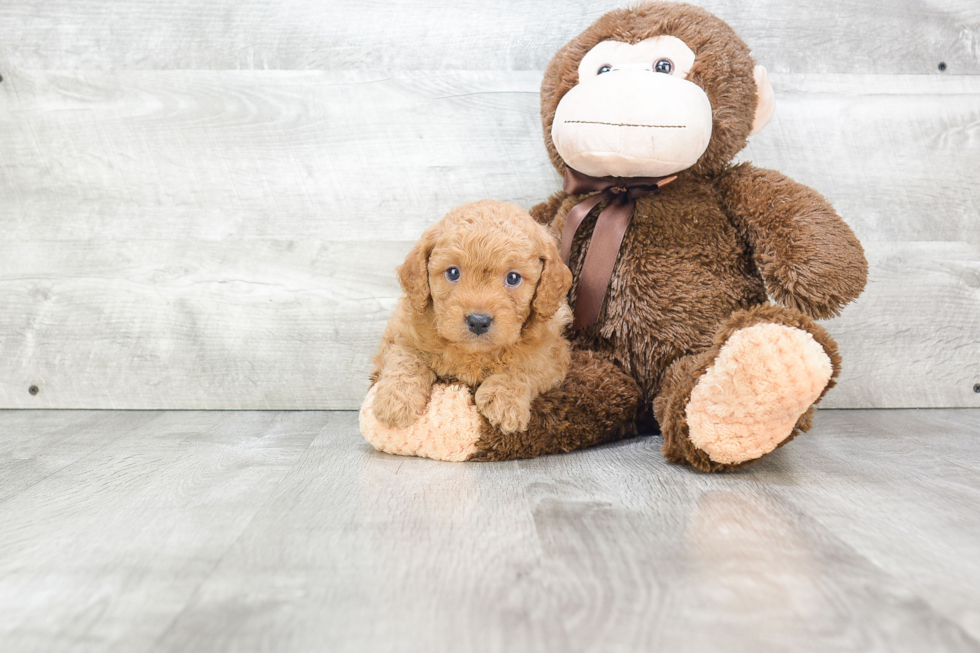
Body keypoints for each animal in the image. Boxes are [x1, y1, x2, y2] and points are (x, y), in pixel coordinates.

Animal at [374, 199, 576, 432]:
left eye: (513, 278)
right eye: (453, 272)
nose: (478, 322)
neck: (474, 352)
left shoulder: (552, 355)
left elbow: (525, 368)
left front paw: (505, 402)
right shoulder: (402, 333)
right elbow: (405, 360)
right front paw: (396, 401)